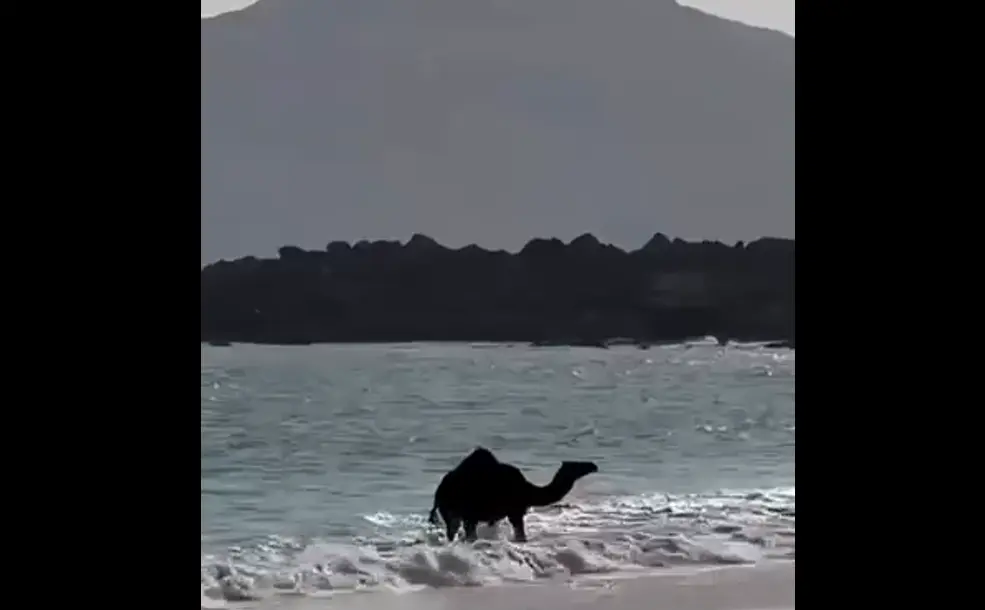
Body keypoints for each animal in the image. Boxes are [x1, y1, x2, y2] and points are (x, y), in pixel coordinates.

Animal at [428, 447, 599, 542]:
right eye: (576, 465)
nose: (593, 465)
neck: (528, 489)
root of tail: (439, 491)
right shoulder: (515, 510)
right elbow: (520, 533)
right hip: (459, 509)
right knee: (458, 528)